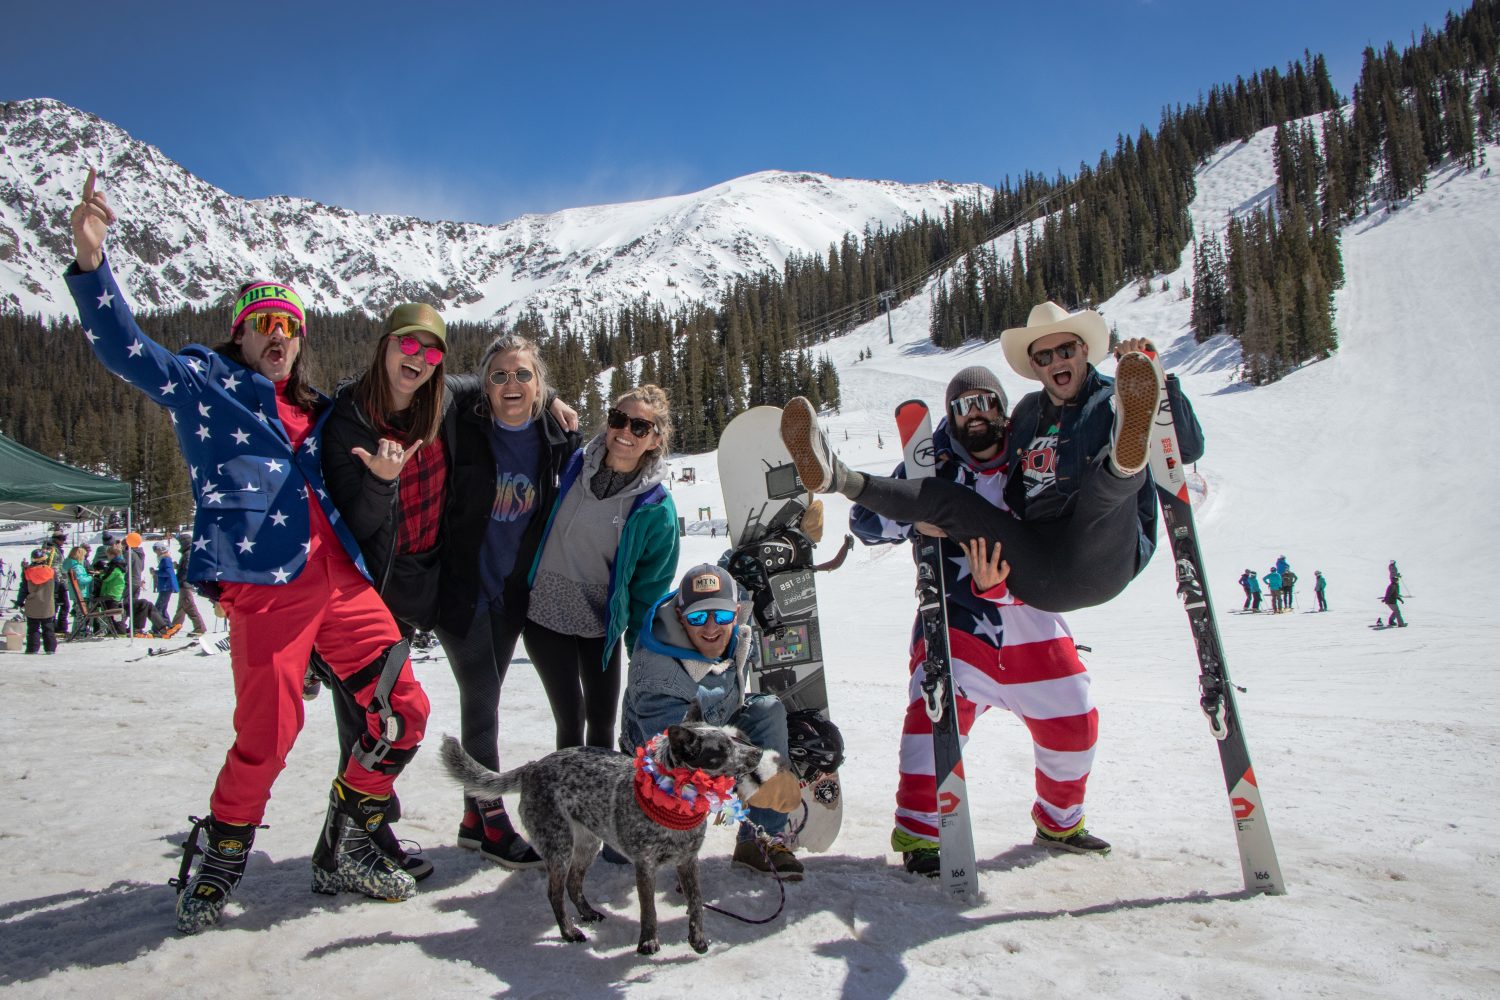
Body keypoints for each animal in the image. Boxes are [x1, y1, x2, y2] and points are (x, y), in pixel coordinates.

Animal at [438, 704, 780, 953]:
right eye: (721, 749)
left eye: (734, 738)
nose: (758, 752)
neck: (676, 802)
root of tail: (533, 767)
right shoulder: (644, 865)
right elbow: (649, 909)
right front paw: (648, 942)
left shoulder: (688, 861)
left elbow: (696, 903)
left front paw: (697, 940)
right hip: (559, 847)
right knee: (555, 893)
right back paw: (569, 932)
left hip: (586, 845)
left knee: (574, 884)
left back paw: (587, 913)